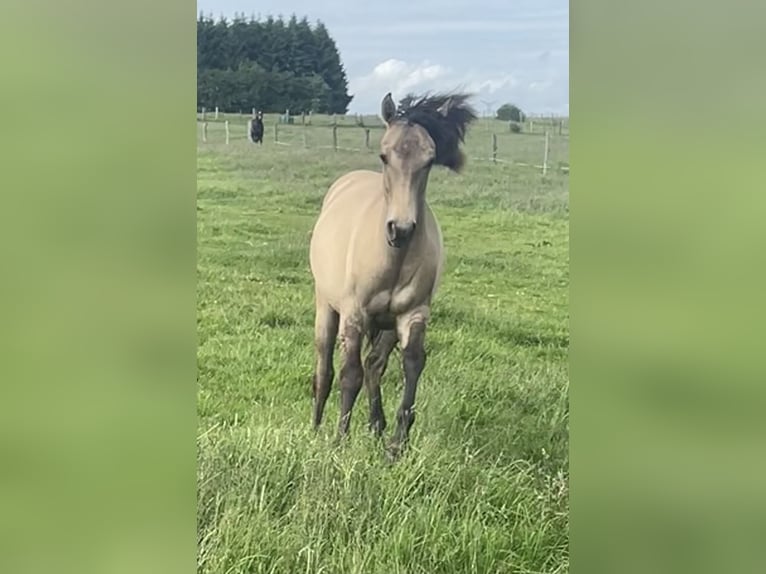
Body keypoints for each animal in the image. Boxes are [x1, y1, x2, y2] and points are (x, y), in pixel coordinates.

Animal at [308, 91, 477, 456]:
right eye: (384, 155)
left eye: (429, 160)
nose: (400, 229)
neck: (392, 256)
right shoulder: (354, 314)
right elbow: (349, 375)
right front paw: (339, 440)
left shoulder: (413, 314)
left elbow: (412, 363)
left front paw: (397, 444)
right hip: (326, 306)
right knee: (325, 369)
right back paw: (314, 428)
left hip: (385, 325)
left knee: (375, 365)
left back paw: (376, 426)